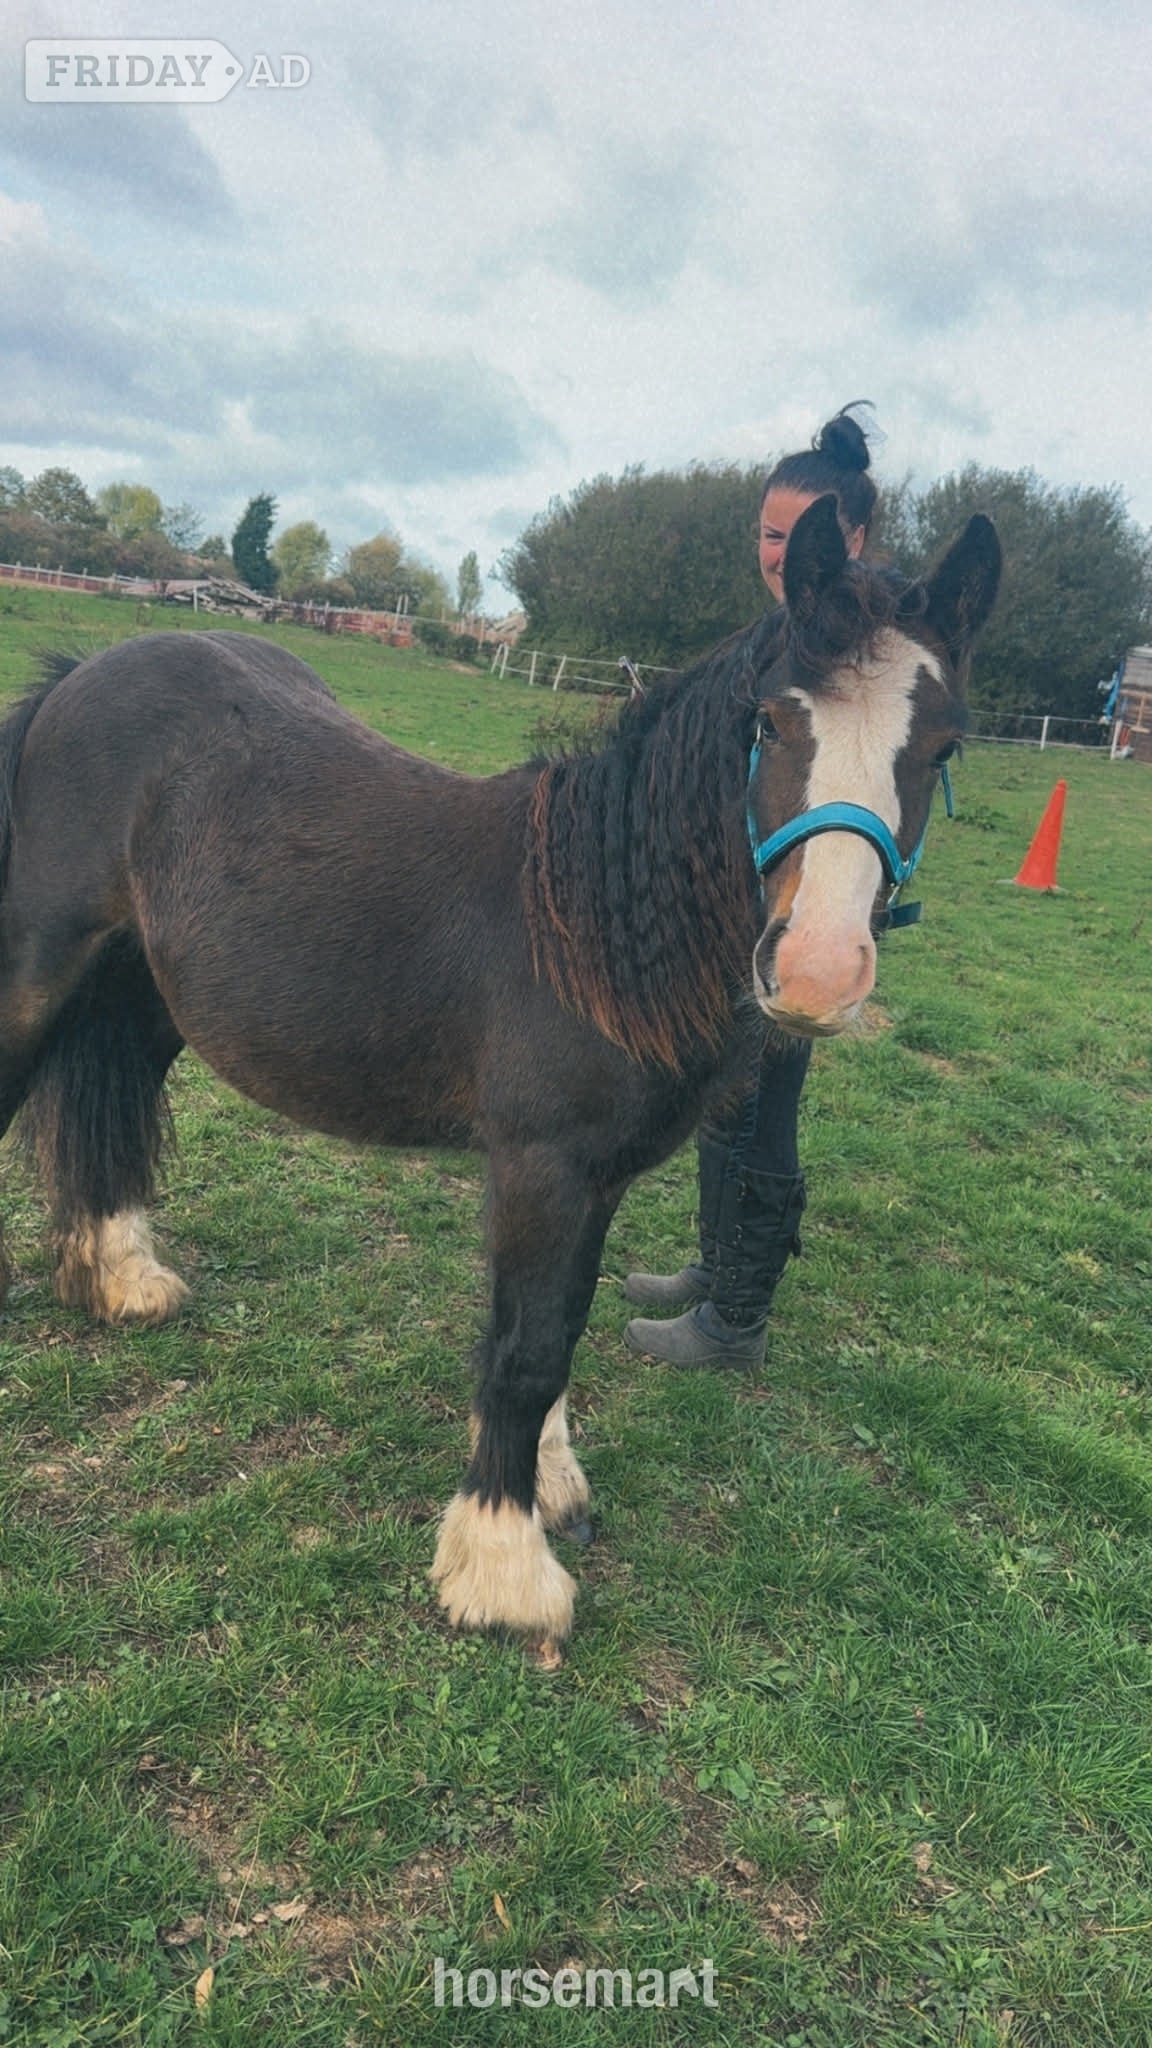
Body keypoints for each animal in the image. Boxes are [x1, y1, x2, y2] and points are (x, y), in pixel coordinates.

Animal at [0, 495, 999, 1644]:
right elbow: (524, 1351)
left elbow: (562, 1323)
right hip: (38, 972)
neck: (591, 932)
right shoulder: (541, 1168)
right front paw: (503, 1567)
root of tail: (79, 674)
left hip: (145, 993)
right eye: (771, 723)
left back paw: (121, 1279)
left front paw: (548, 1490)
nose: (817, 971)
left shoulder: (596, 1180)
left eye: (944, 744)